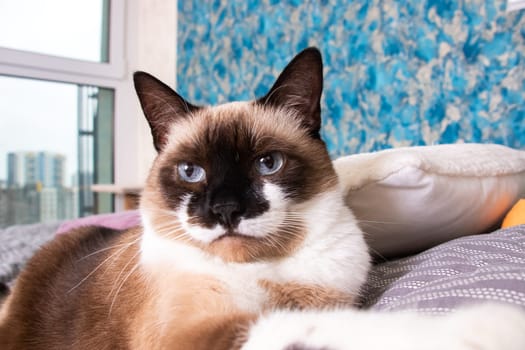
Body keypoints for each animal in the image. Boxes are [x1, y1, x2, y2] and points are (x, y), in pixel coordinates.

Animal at [1, 47, 524, 348]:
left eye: (266, 163)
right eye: (191, 172)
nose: (226, 210)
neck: (270, 271)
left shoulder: (333, 300)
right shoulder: (196, 332)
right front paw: (488, 327)